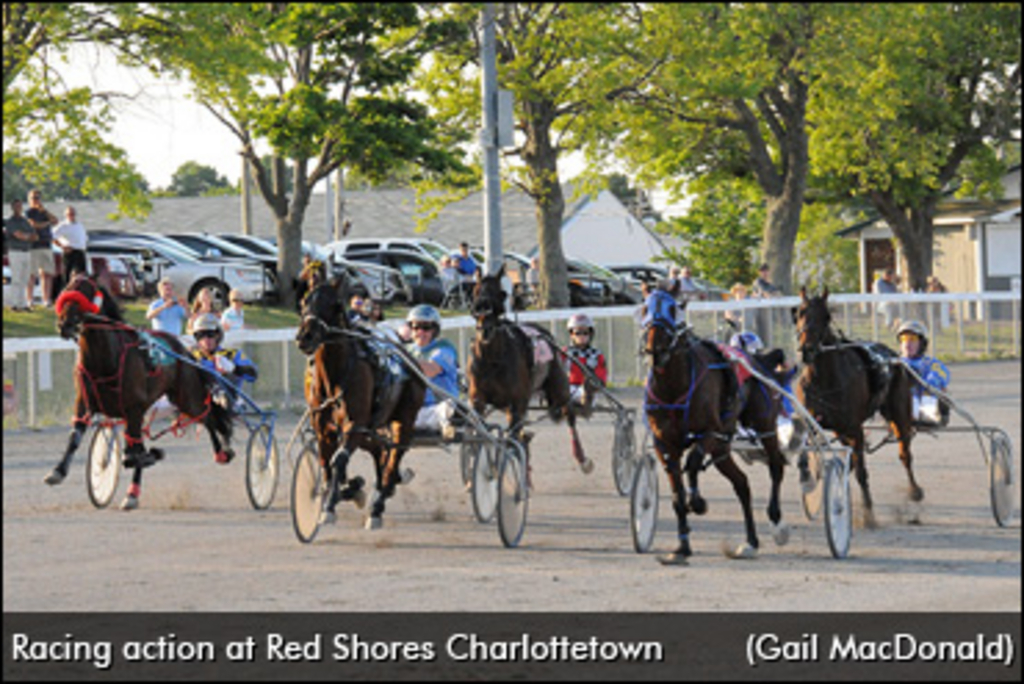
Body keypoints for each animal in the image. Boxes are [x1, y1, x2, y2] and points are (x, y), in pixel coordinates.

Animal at [44, 274, 234, 509]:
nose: (65, 323)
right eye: (66, 289)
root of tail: (184, 350)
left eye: (87, 291)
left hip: (186, 396)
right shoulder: (84, 402)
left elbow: (134, 453)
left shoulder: (134, 408)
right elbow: (76, 437)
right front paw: (57, 471)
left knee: (207, 417)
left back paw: (222, 451)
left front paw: (150, 456)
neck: (105, 360)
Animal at [294, 278, 425, 528]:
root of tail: (411, 361)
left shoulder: (355, 423)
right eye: (305, 301)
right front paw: (337, 494)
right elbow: (327, 462)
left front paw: (330, 507)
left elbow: (339, 460)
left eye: (336, 304)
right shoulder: (323, 427)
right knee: (379, 450)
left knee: (394, 456)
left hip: (404, 420)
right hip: (372, 427)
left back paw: (377, 508)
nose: (305, 336)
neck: (335, 375)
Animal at [468, 270, 589, 473]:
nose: (485, 327)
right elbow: (480, 433)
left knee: (569, 414)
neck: (492, 360)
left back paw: (582, 458)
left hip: (559, 387)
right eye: (475, 291)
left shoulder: (517, 401)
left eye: (501, 294)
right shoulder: (478, 399)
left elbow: (512, 439)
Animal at [790, 286, 921, 528]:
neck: (823, 380)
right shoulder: (813, 422)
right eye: (800, 312)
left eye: (827, 316)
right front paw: (807, 476)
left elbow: (861, 471)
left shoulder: (855, 428)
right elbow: (805, 451)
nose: (808, 349)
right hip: (841, 430)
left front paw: (868, 513)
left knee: (905, 453)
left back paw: (915, 491)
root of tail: (892, 356)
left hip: (898, 413)